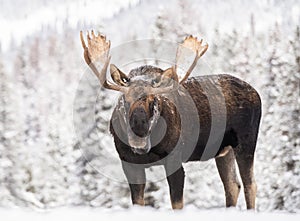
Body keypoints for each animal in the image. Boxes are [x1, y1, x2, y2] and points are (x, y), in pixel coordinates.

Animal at [79, 30, 260, 210]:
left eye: (153, 100)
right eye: (124, 99)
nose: (139, 134)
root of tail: (256, 92)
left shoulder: (174, 160)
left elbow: (177, 203)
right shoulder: (129, 163)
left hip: (246, 142)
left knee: (250, 184)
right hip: (223, 150)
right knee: (232, 185)